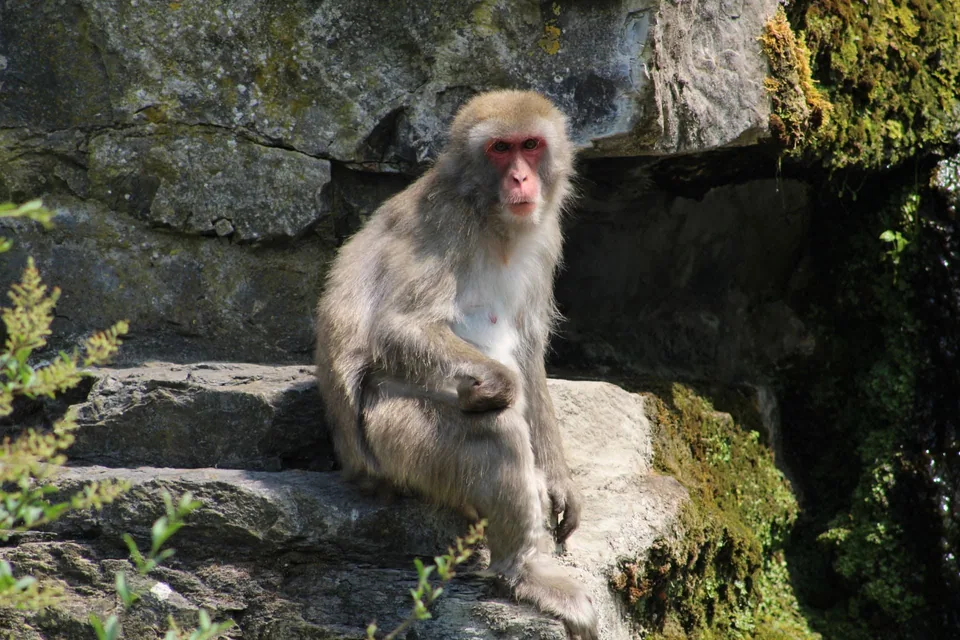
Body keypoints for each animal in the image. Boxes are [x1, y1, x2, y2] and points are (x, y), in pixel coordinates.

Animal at [314, 89, 597, 639]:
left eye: (530, 145)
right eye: (499, 149)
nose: (520, 179)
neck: (491, 220)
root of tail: (356, 467)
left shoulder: (545, 237)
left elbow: (529, 348)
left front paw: (559, 480)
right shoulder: (445, 223)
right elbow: (398, 328)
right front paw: (498, 385)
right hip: (394, 441)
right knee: (494, 431)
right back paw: (523, 572)